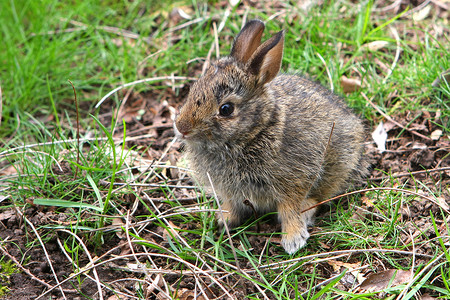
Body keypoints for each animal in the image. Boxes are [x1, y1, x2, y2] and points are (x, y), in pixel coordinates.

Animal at [174, 18, 368, 254]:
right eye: (193, 89)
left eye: (226, 109)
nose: (181, 127)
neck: (254, 133)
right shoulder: (230, 192)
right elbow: (233, 205)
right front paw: (224, 220)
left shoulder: (295, 179)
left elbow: (289, 208)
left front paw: (293, 239)